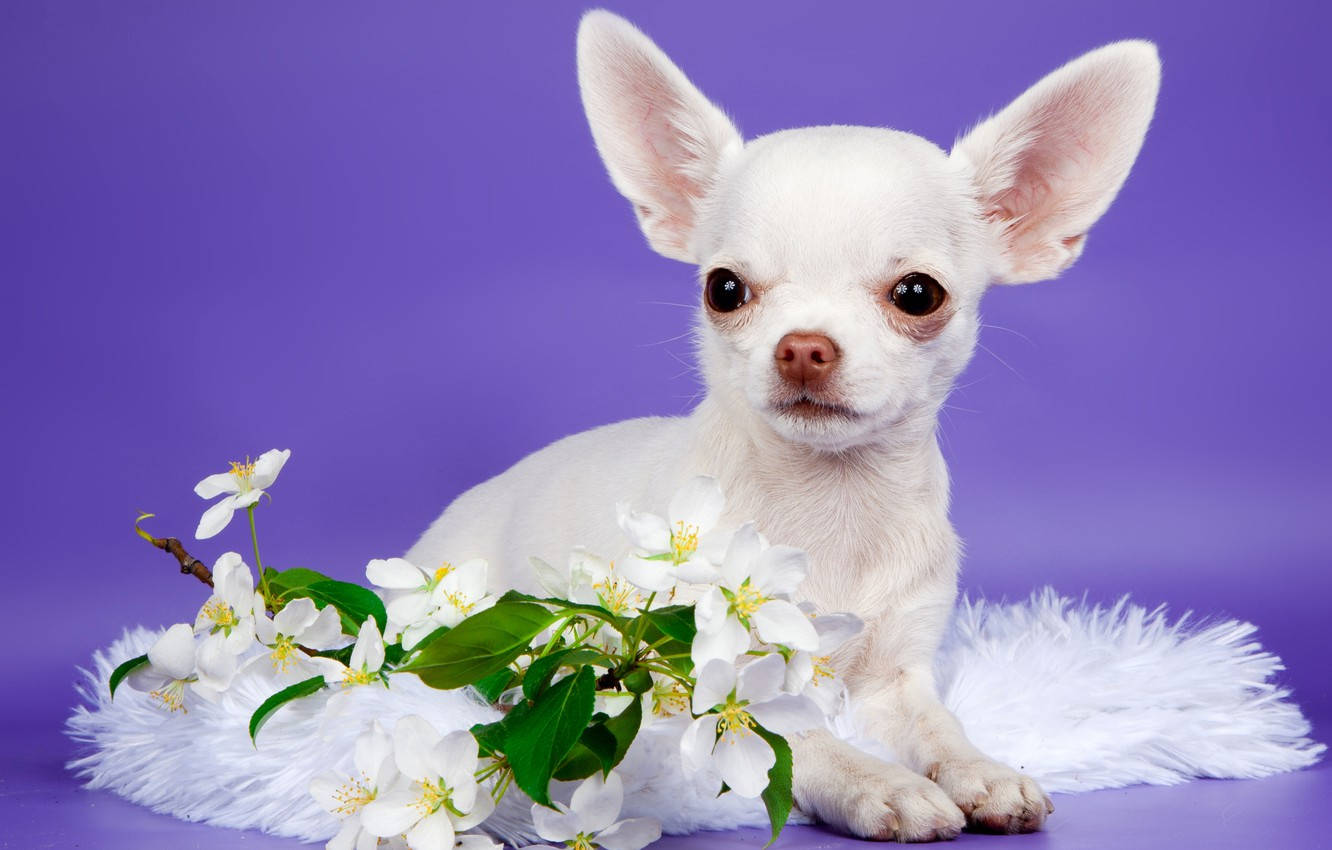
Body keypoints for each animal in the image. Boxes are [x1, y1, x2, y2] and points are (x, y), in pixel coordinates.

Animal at [410, 8, 1161, 847]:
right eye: (724, 289)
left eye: (918, 294)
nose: (804, 345)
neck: (832, 506)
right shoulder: (714, 683)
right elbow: (804, 744)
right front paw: (883, 784)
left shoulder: (897, 680)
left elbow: (941, 729)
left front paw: (982, 769)